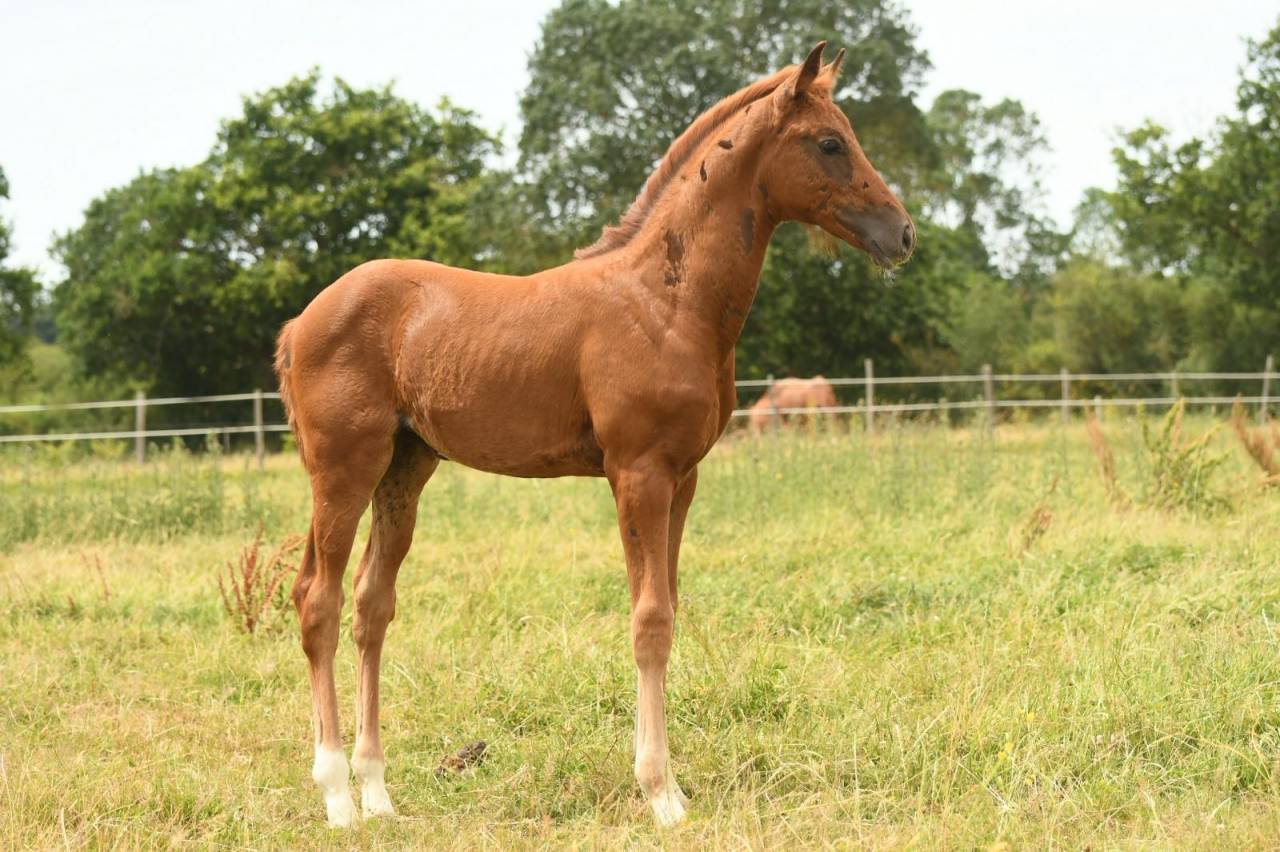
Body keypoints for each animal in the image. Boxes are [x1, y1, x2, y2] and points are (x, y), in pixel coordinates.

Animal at [274, 41, 913, 829]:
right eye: (829, 143)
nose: (901, 234)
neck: (668, 302)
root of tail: (301, 322)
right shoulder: (638, 473)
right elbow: (649, 621)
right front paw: (661, 793)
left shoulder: (684, 478)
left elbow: (668, 608)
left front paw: (668, 783)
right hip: (343, 468)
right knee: (319, 601)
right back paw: (337, 794)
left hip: (406, 468)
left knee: (371, 605)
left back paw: (378, 791)